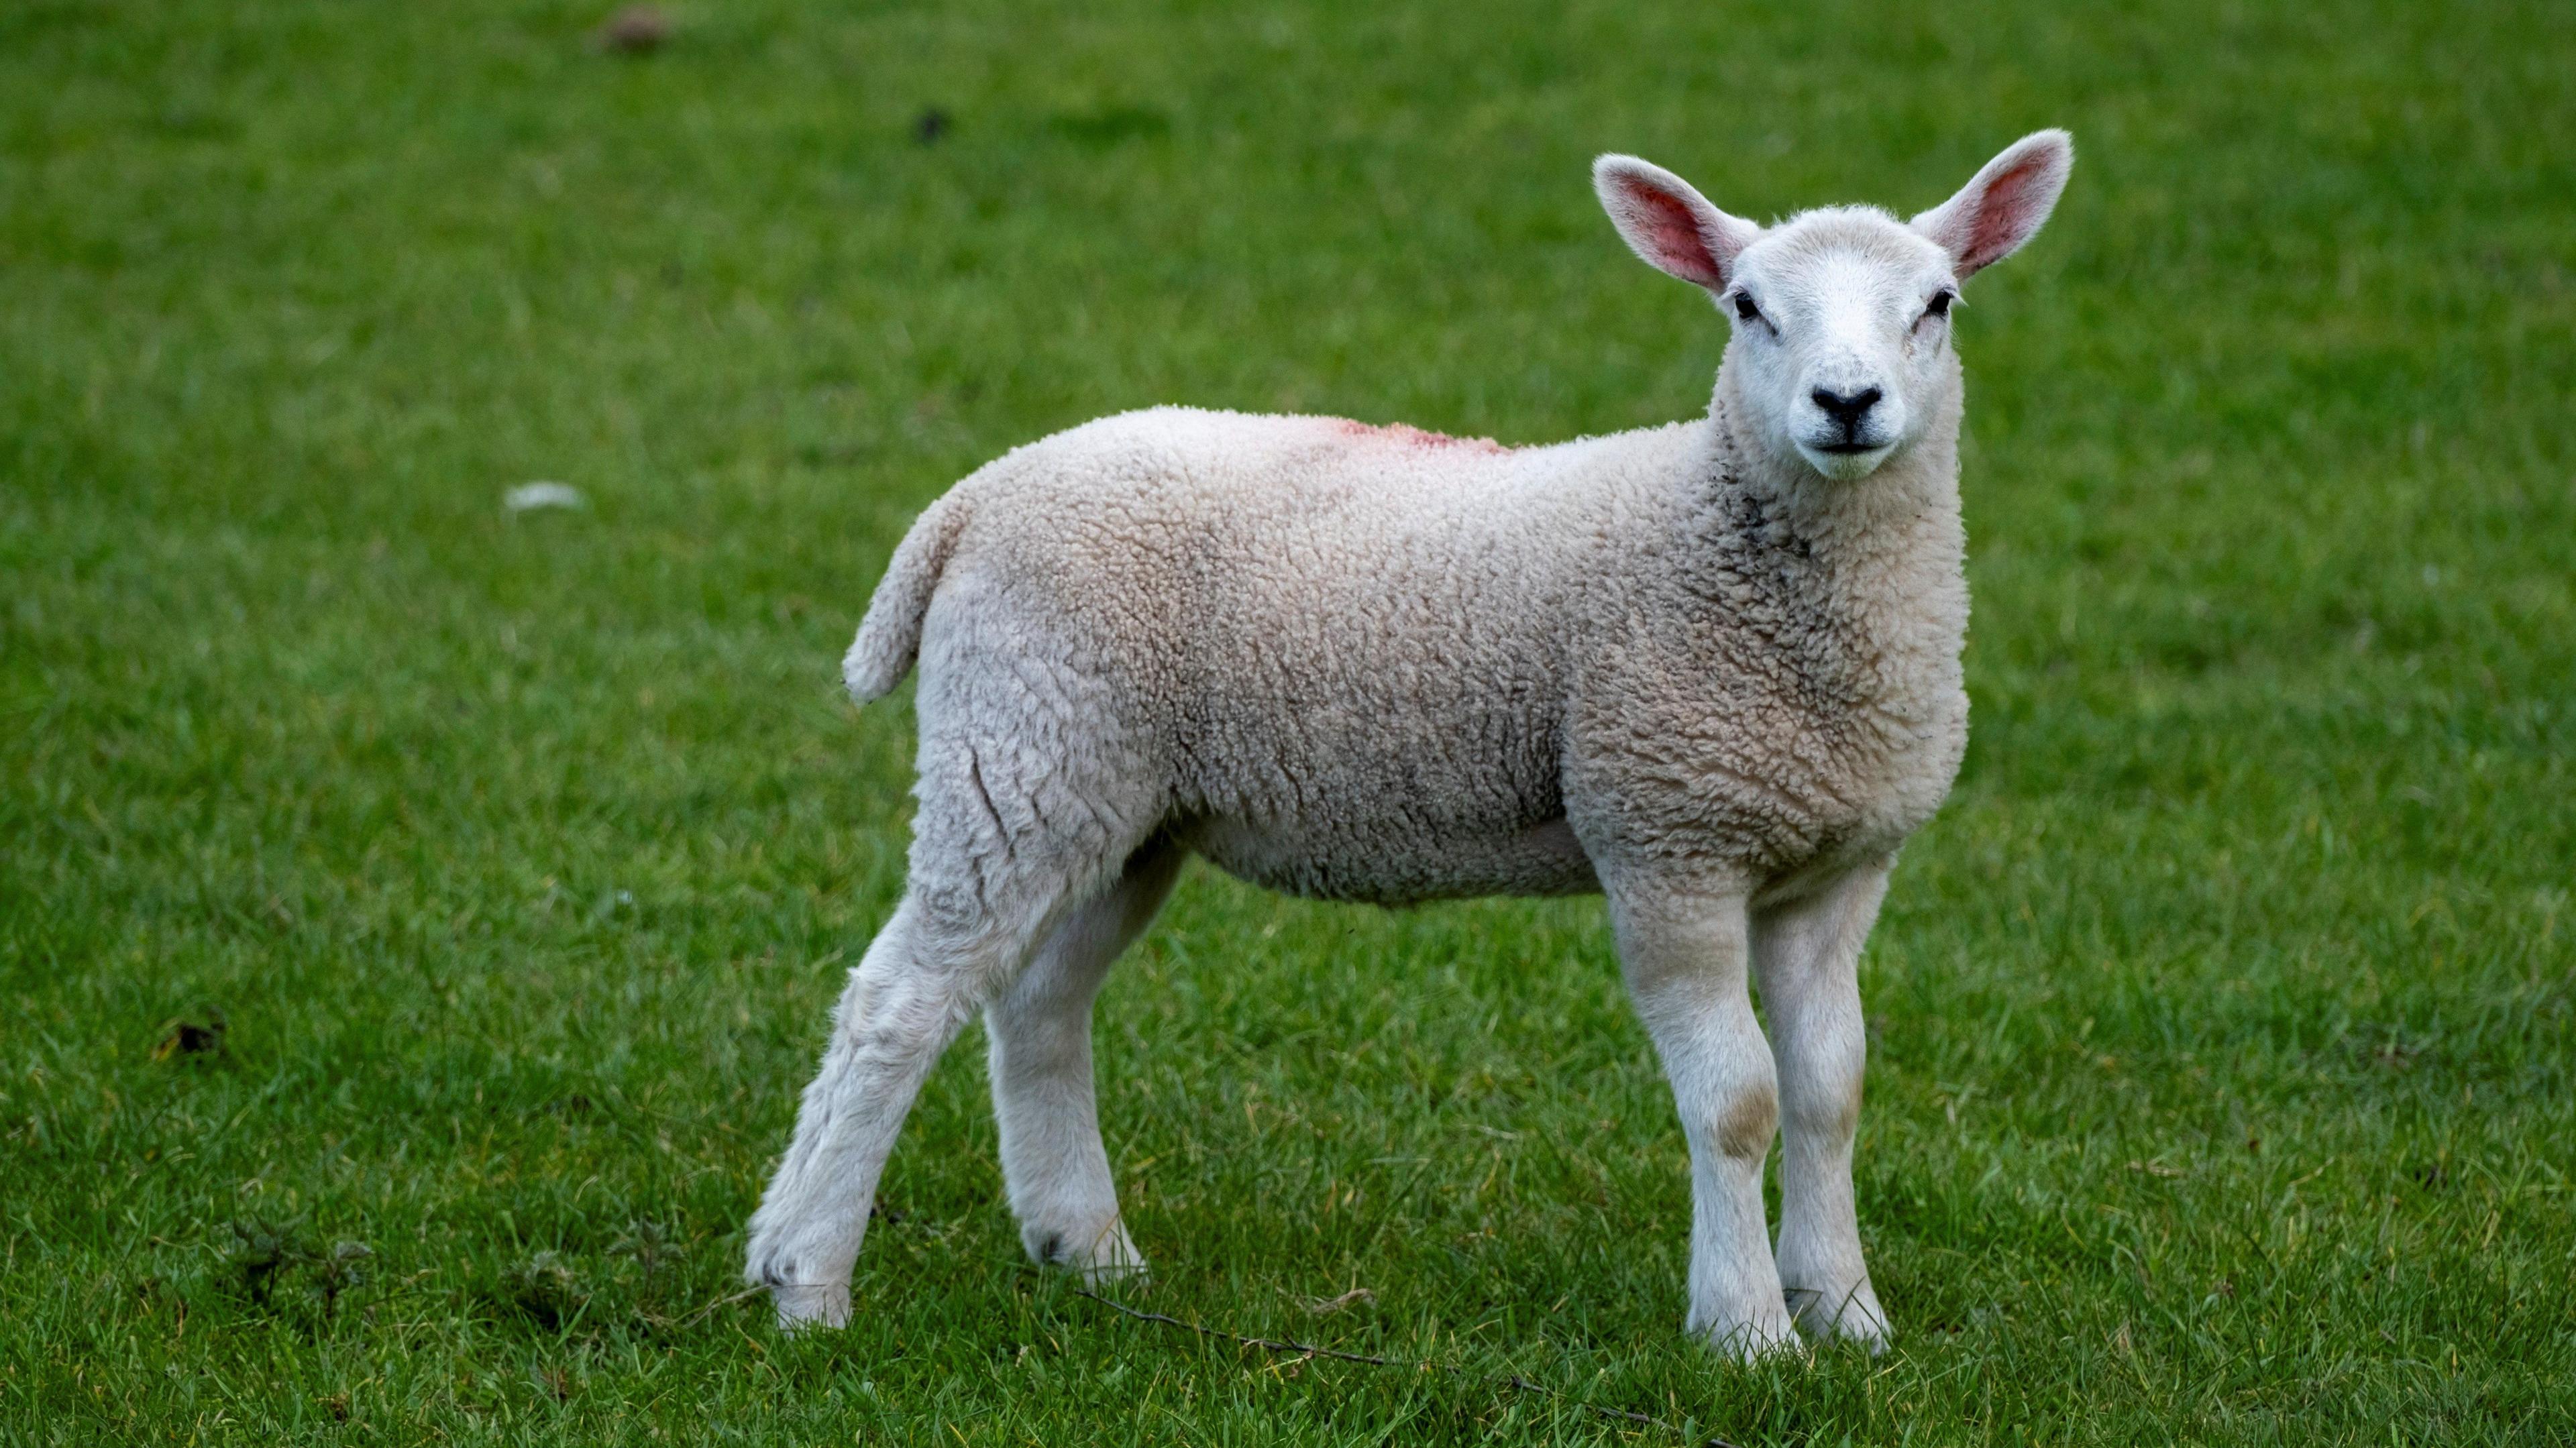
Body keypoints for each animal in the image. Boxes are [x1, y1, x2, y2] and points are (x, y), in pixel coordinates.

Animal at [744, 130, 2074, 1359]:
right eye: (1748, 306)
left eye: (1938, 303)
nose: (1846, 405)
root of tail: (974, 497)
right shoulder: (1665, 837)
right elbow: (1739, 1100)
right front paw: (1746, 1329)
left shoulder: (1835, 864)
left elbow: (1830, 1092)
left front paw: (1848, 1313)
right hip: (1023, 752)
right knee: (896, 1006)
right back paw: (807, 1280)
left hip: (1120, 806)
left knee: (1037, 1004)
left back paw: (1084, 1248)